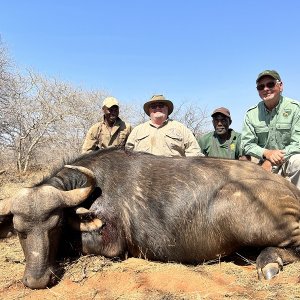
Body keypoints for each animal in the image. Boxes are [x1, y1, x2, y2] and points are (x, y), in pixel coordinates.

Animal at [0, 149, 300, 290]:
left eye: (56, 226)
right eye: (19, 230)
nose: (36, 280)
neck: (95, 188)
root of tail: (289, 188)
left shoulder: (111, 246)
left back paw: (269, 262)